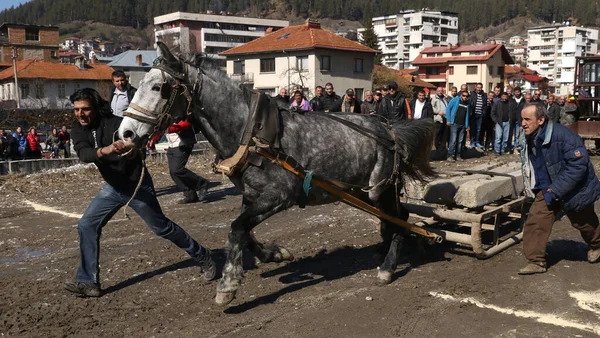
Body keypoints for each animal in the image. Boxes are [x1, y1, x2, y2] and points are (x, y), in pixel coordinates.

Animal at [118, 42, 436, 306]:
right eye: (139, 85)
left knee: (400, 218)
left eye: (159, 87)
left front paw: (228, 285)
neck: (250, 131)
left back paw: (387, 267)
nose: (125, 133)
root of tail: (390, 130)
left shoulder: (279, 195)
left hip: (380, 189)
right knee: (394, 218)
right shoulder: (251, 194)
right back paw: (383, 250)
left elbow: (236, 229)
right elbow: (243, 231)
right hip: (364, 190)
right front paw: (275, 254)